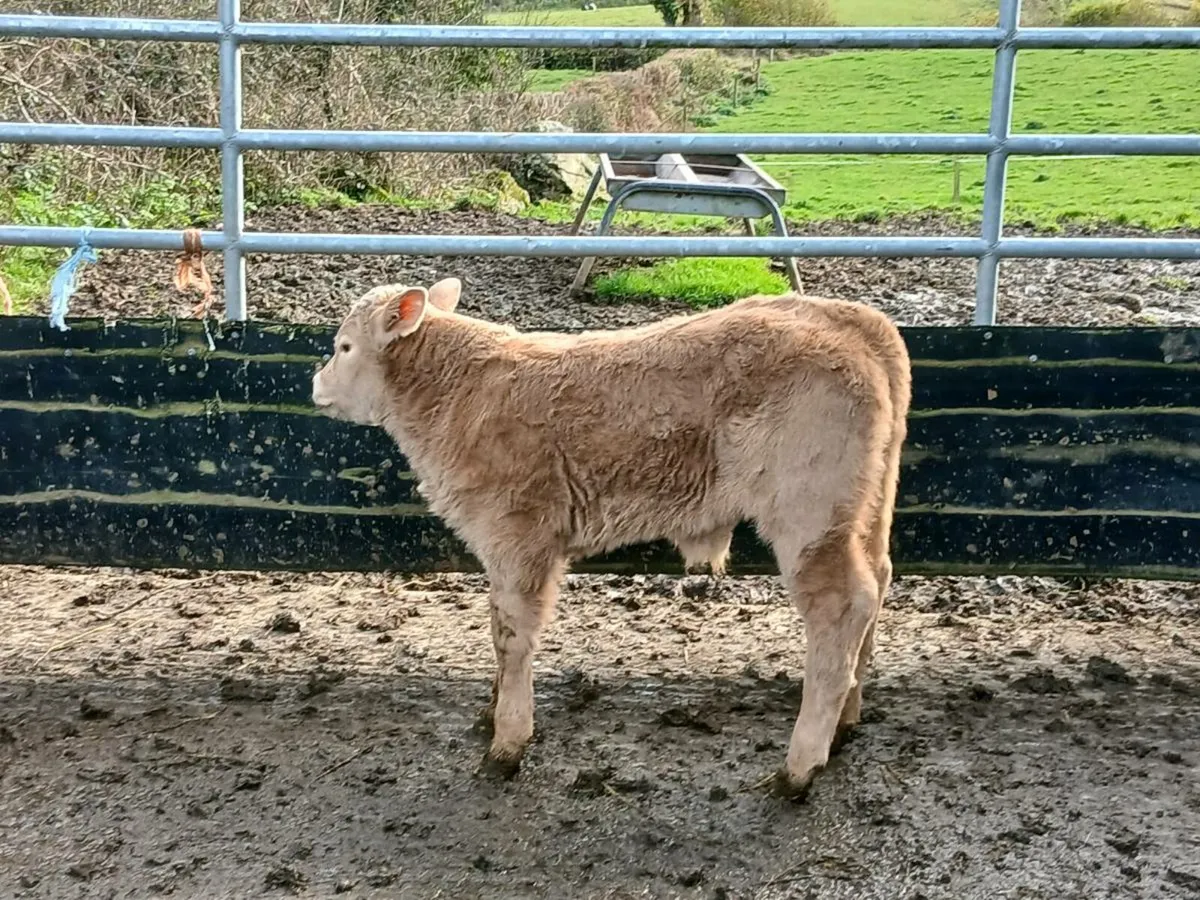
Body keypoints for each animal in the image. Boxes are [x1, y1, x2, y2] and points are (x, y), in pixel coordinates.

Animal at [312, 277, 911, 800]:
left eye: (344, 346)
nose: (314, 383)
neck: (458, 393)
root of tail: (851, 322)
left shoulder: (518, 535)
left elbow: (513, 635)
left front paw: (507, 741)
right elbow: (497, 629)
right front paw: (491, 713)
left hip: (808, 510)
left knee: (840, 606)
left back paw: (800, 767)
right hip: (866, 504)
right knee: (877, 582)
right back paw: (845, 722)